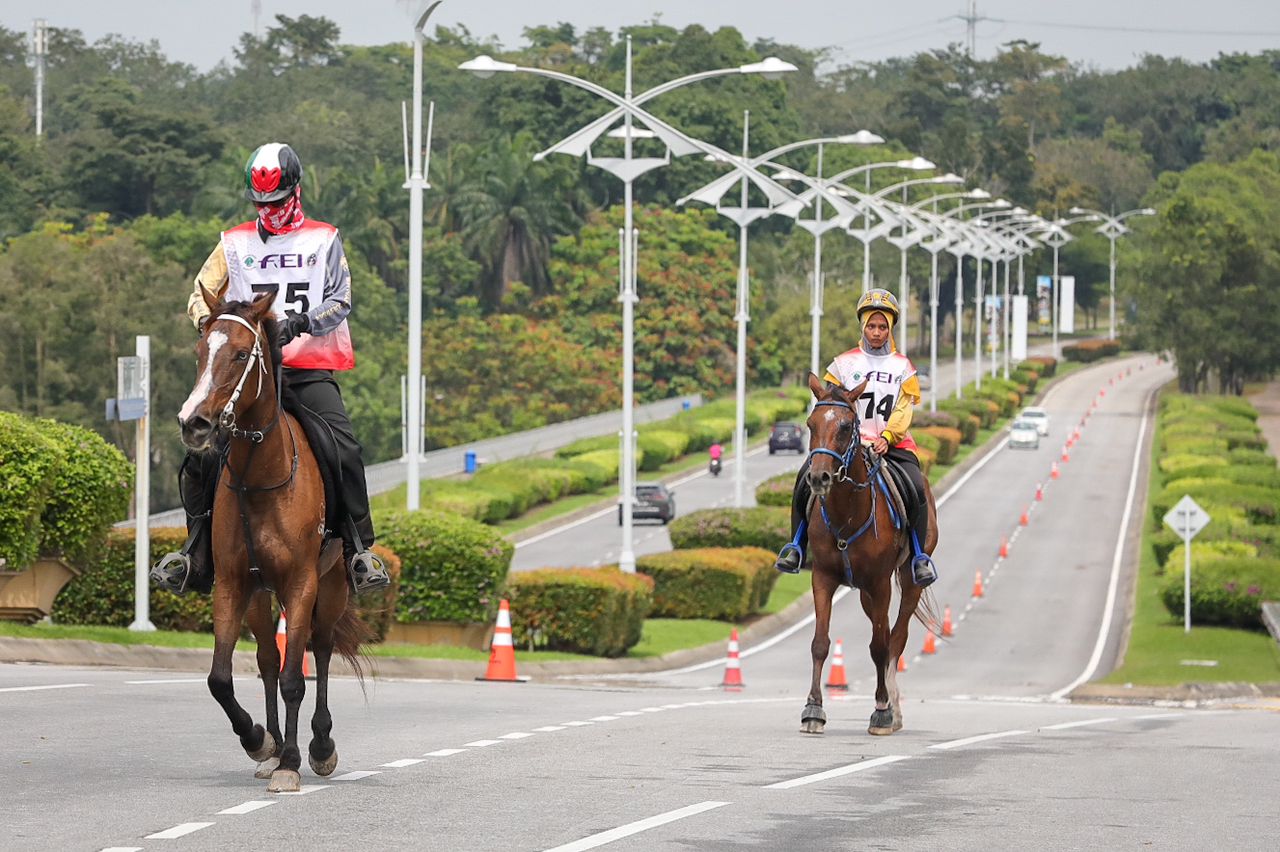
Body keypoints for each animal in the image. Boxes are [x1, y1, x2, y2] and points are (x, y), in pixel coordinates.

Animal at [176, 290, 366, 788]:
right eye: (200, 352)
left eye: (242, 355)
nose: (193, 423)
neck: (259, 479)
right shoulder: (232, 584)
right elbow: (221, 678)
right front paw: (259, 741)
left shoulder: (301, 583)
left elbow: (294, 678)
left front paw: (293, 763)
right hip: (261, 594)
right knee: (264, 660)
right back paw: (273, 745)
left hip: (331, 587)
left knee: (321, 650)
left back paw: (319, 745)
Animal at [798, 370, 942, 736]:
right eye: (810, 423)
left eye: (846, 426)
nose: (818, 477)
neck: (847, 512)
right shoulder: (823, 577)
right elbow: (820, 643)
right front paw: (813, 709)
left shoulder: (879, 582)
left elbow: (880, 646)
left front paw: (882, 710)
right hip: (863, 591)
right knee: (886, 631)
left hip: (907, 581)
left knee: (896, 636)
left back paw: (893, 707)